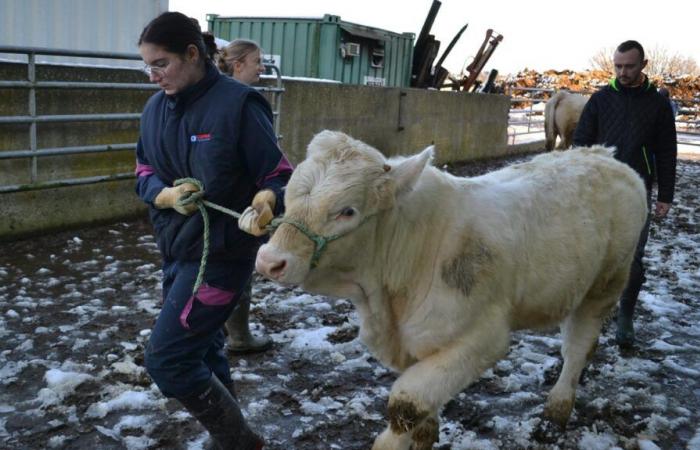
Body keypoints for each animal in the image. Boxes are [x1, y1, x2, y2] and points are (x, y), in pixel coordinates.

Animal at [256, 131, 644, 450]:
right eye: (289, 195)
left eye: (347, 211)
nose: (269, 261)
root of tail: (604, 155)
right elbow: (425, 405)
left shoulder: (482, 338)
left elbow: (407, 403)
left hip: (606, 283)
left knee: (578, 346)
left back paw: (557, 411)